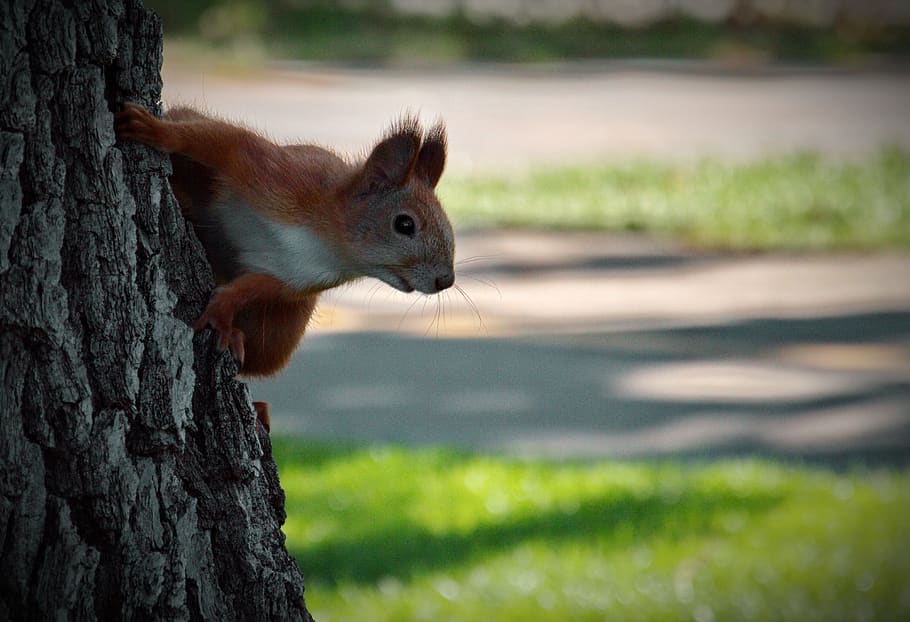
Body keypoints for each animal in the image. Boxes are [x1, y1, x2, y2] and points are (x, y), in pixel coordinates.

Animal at [114, 105, 456, 432]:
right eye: (404, 224)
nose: (446, 280)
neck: (328, 243)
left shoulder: (293, 278)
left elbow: (249, 289)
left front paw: (223, 315)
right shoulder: (278, 175)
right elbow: (222, 141)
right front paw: (154, 130)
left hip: (281, 330)